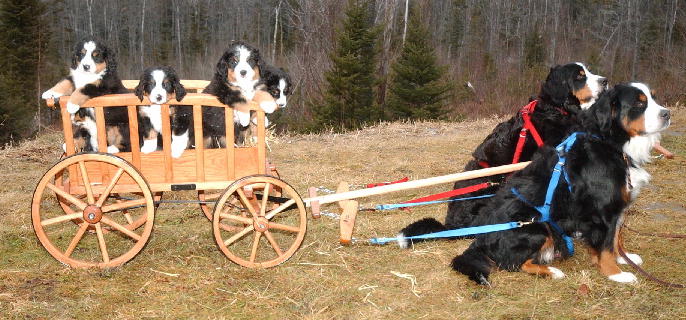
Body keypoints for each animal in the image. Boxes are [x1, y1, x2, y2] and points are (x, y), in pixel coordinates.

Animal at [452, 83, 672, 284]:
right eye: (639, 103)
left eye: (653, 98)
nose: (667, 114)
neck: (611, 142)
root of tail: (480, 239)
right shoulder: (603, 210)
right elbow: (607, 245)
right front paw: (615, 273)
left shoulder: (617, 206)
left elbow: (617, 236)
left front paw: (624, 258)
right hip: (537, 225)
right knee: (514, 263)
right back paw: (551, 271)